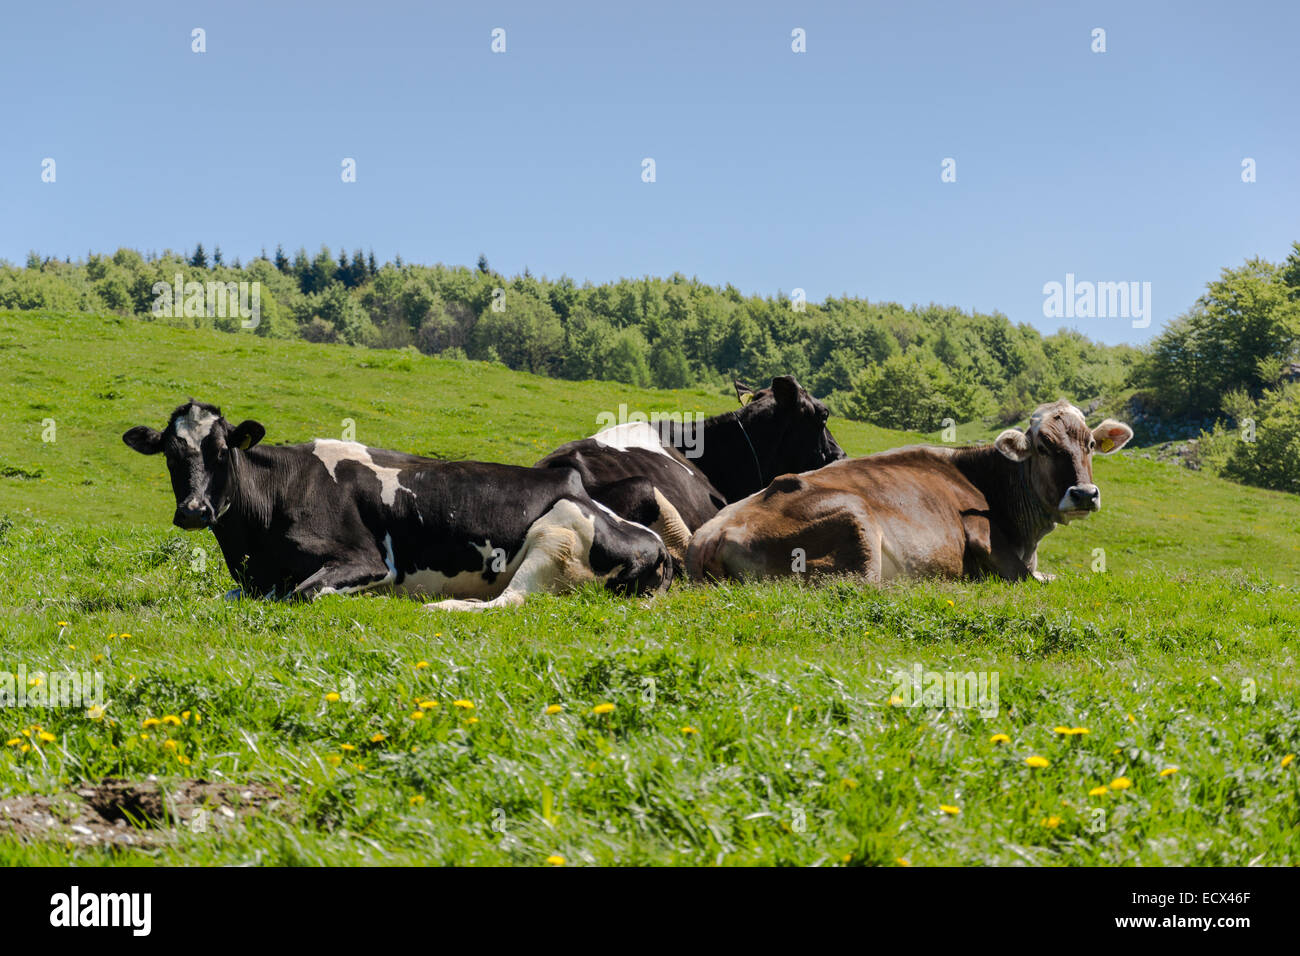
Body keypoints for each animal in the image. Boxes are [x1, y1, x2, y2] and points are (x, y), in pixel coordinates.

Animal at [122, 400, 670, 608]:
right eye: (172, 454)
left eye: (222, 451)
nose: (195, 510)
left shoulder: (367, 561)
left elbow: (305, 592)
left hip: (556, 537)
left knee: (507, 601)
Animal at [686, 398, 1133, 582]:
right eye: (1043, 446)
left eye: (1089, 445)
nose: (1084, 494)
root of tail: (710, 534)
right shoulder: (983, 535)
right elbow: (1037, 579)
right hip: (856, 523)